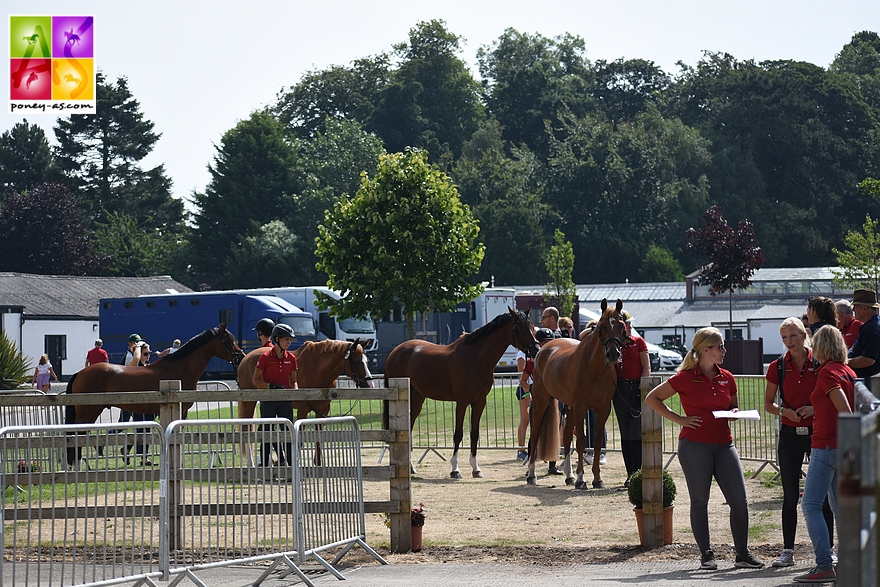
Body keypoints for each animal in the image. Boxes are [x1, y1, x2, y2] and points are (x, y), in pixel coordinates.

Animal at [234, 338, 372, 466]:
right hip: (249, 403)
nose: (369, 385)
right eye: (357, 361)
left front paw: (318, 463)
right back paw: (252, 463)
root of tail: (245, 359)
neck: (318, 369)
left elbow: (319, 436)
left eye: (367, 361)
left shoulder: (322, 410)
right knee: (247, 431)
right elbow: (299, 437)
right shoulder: (303, 409)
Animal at [386, 308, 540, 478]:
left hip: (417, 399)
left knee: (409, 429)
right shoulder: (462, 402)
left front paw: (476, 469)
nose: (536, 350)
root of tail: (395, 352)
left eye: (532, 326)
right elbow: (458, 434)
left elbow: (474, 434)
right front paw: (455, 469)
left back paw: (411, 468)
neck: (476, 358)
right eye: (520, 327)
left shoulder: (479, 402)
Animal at [524, 300, 624, 490]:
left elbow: (596, 442)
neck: (594, 368)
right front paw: (581, 479)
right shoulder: (580, 407)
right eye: (601, 327)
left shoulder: (603, 409)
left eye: (621, 326)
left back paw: (568, 476)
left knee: (567, 436)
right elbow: (582, 442)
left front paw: (597, 479)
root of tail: (543, 350)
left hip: (568, 407)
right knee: (535, 434)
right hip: (541, 401)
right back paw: (532, 475)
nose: (613, 354)